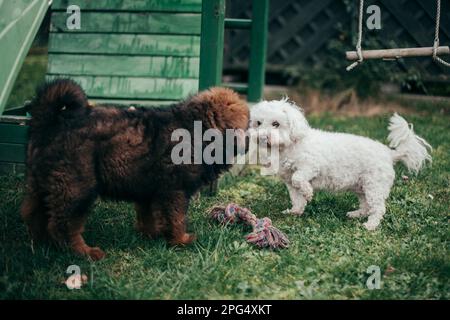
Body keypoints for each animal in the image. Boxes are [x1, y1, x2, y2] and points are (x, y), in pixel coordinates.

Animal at [22, 79, 250, 260]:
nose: (249, 143)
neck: (197, 130)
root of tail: (49, 122)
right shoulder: (174, 191)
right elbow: (176, 219)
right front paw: (181, 240)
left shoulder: (147, 189)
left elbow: (148, 214)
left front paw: (151, 234)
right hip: (76, 187)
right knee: (64, 224)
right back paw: (83, 252)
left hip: (42, 182)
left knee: (34, 213)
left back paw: (40, 245)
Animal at [250, 99, 432, 231]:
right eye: (258, 123)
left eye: (276, 124)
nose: (262, 137)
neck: (290, 146)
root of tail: (389, 153)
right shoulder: (289, 182)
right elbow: (296, 198)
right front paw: (295, 211)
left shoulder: (310, 166)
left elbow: (299, 179)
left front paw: (308, 193)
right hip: (362, 187)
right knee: (366, 206)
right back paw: (356, 214)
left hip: (374, 186)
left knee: (378, 208)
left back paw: (370, 225)